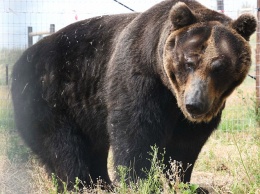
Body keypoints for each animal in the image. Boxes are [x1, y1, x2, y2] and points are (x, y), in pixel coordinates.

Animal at [10, 0, 256, 191]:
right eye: (189, 62)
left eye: (219, 67)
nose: (195, 104)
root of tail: (19, 62)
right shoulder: (140, 78)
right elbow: (135, 130)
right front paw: (141, 182)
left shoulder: (191, 111)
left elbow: (185, 145)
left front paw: (185, 183)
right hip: (48, 96)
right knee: (63, 146)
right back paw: (81, 184)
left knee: (93, 145)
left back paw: (103, 183)